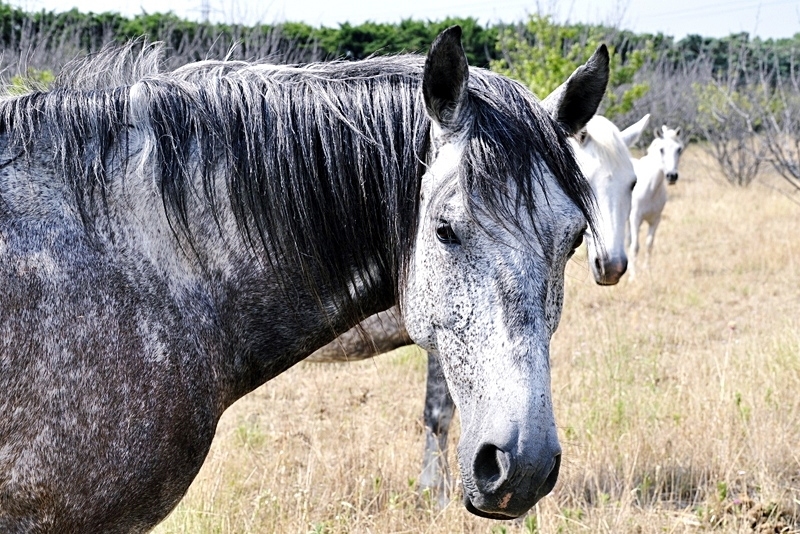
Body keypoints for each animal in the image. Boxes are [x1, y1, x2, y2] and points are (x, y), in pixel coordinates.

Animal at [628, 123, 684, 278]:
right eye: (661, 149)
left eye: (679, 149)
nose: (672, 176)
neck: (650, 188)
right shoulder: (635, 219)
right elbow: (635, 246)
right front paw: (633, 276)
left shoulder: (655, 220)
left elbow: (649, 244)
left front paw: (647, 270)